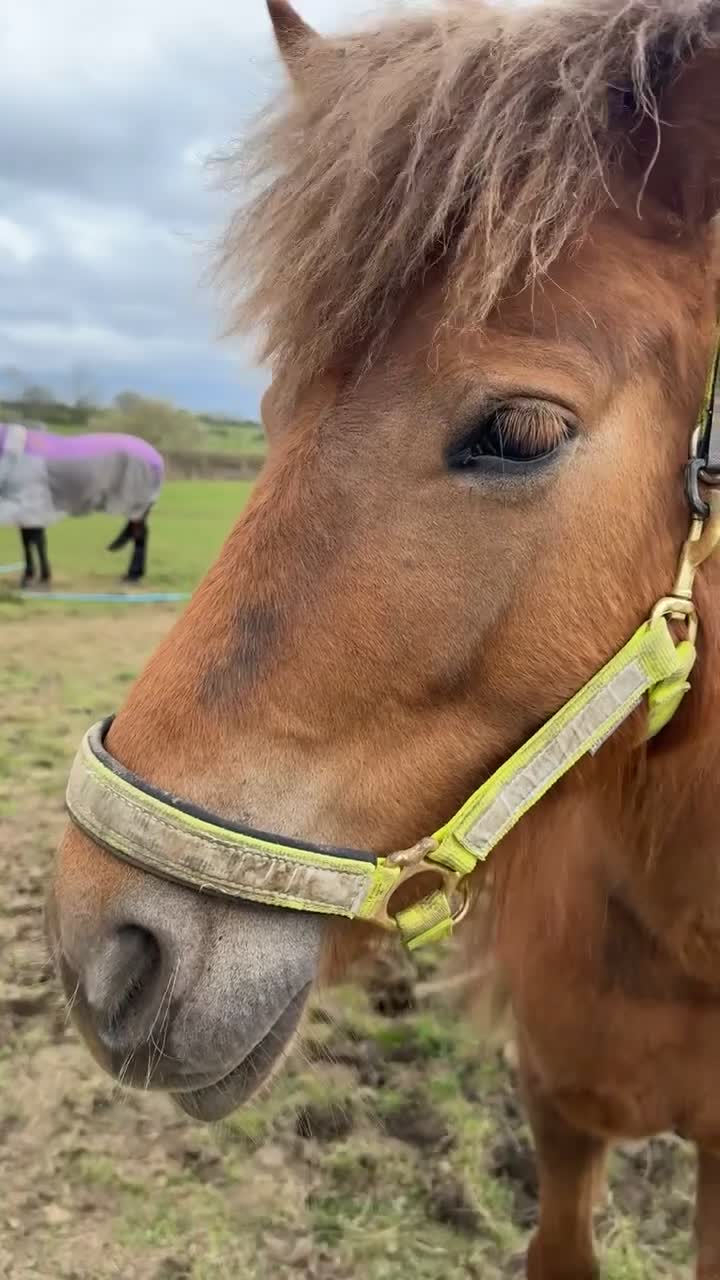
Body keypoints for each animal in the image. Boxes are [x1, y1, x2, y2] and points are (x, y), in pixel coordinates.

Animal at [0, 423, 164, 586]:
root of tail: (157, 460)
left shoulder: (30, 505)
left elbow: (33, 541)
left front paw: (34, 578)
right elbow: (32, 541)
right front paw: (39, 577)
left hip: (136, 505)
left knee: (140, 536)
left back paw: (132, 576)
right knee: (141, 534)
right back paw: (134, 574)